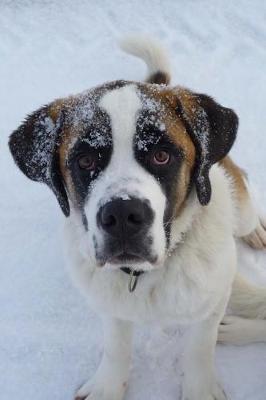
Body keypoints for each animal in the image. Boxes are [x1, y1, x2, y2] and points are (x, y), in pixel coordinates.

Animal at [8, 36, 266, 398]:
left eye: (161, 156)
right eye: (85, 161)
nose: (122, 214)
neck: (142, 275)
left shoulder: (211, 303)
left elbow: (200, 347)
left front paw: (200, 389)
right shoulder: (110, 303)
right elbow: (116, 346)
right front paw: (108, 386)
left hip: (236, 205)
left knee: (243, 192)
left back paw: (255, 230)